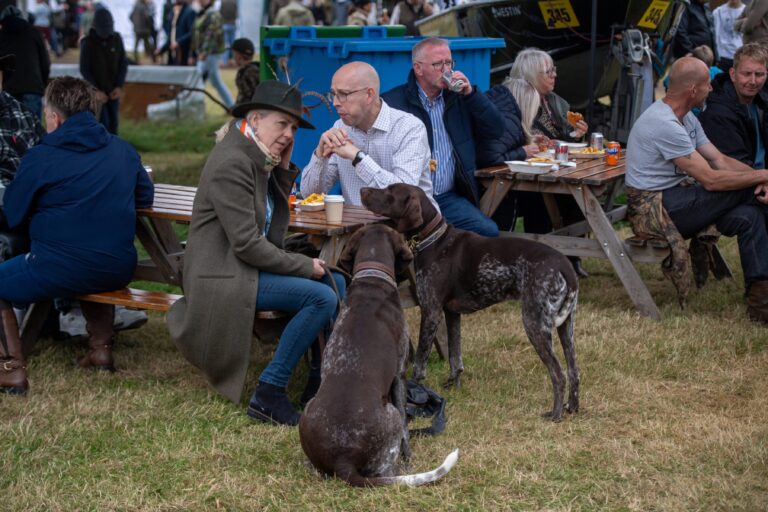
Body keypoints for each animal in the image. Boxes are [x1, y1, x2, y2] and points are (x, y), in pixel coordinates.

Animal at [298, 226, 456, 486]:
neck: (372, 276)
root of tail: (343, 461)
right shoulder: (400, 372)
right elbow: (405, 429)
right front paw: (408, 455)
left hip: (309, 409)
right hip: (390, 420)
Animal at [364, 184, 580, 420]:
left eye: (389, 192)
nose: (363, 190)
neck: (434, 240)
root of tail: (565, 266)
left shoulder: (431, 312)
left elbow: (420, 361)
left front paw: (415, 390)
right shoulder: (451, 313)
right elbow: (455, 356)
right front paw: (453, 385)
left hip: (535, 323)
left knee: (558, 373)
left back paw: (556, 414)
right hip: (565, 327)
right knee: (573, 370)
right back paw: (572, 408)